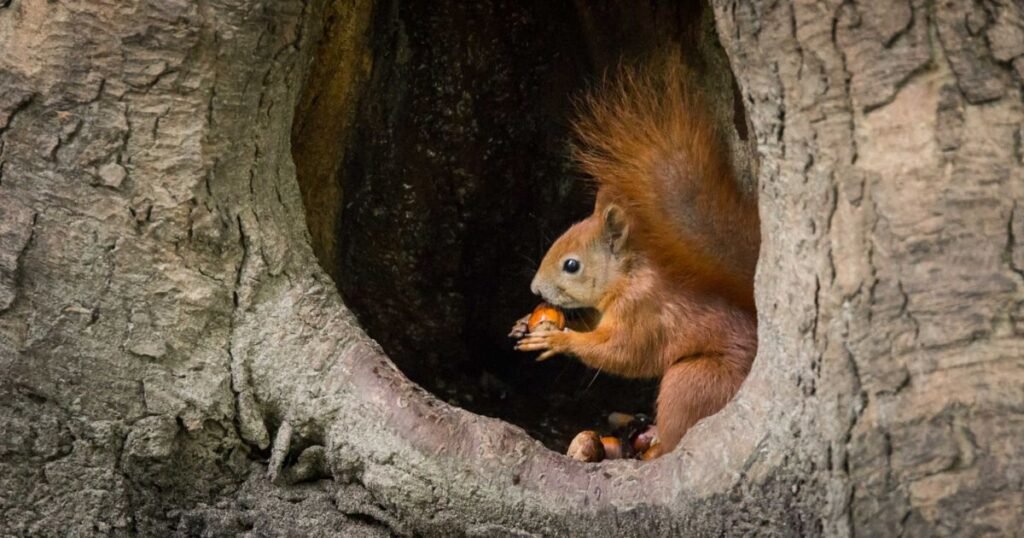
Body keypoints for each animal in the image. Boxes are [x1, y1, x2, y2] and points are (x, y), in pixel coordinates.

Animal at [514, 58, 759, 458]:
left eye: (572, 265)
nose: (535, 289)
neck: (626, 278)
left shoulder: (643, 312)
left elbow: (621, 353)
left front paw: (558, 341)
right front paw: (525, 322)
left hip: (692, 381)